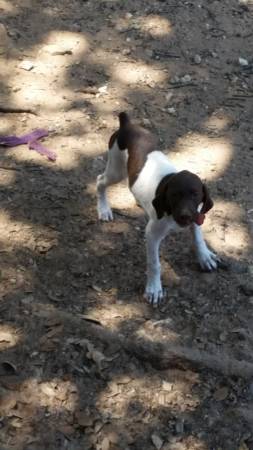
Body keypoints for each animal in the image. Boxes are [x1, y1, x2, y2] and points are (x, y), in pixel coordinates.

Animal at [96, 112, 218, 306]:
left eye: (195, 195)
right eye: (174, 195)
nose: (184, 217)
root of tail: (126, 125)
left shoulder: (197, 215)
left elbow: (198, 237)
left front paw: (204, 256)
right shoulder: (152, 234)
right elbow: (154, 264)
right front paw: (154, 288)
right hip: (116, 169)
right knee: (100, 181)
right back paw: (103, 209)